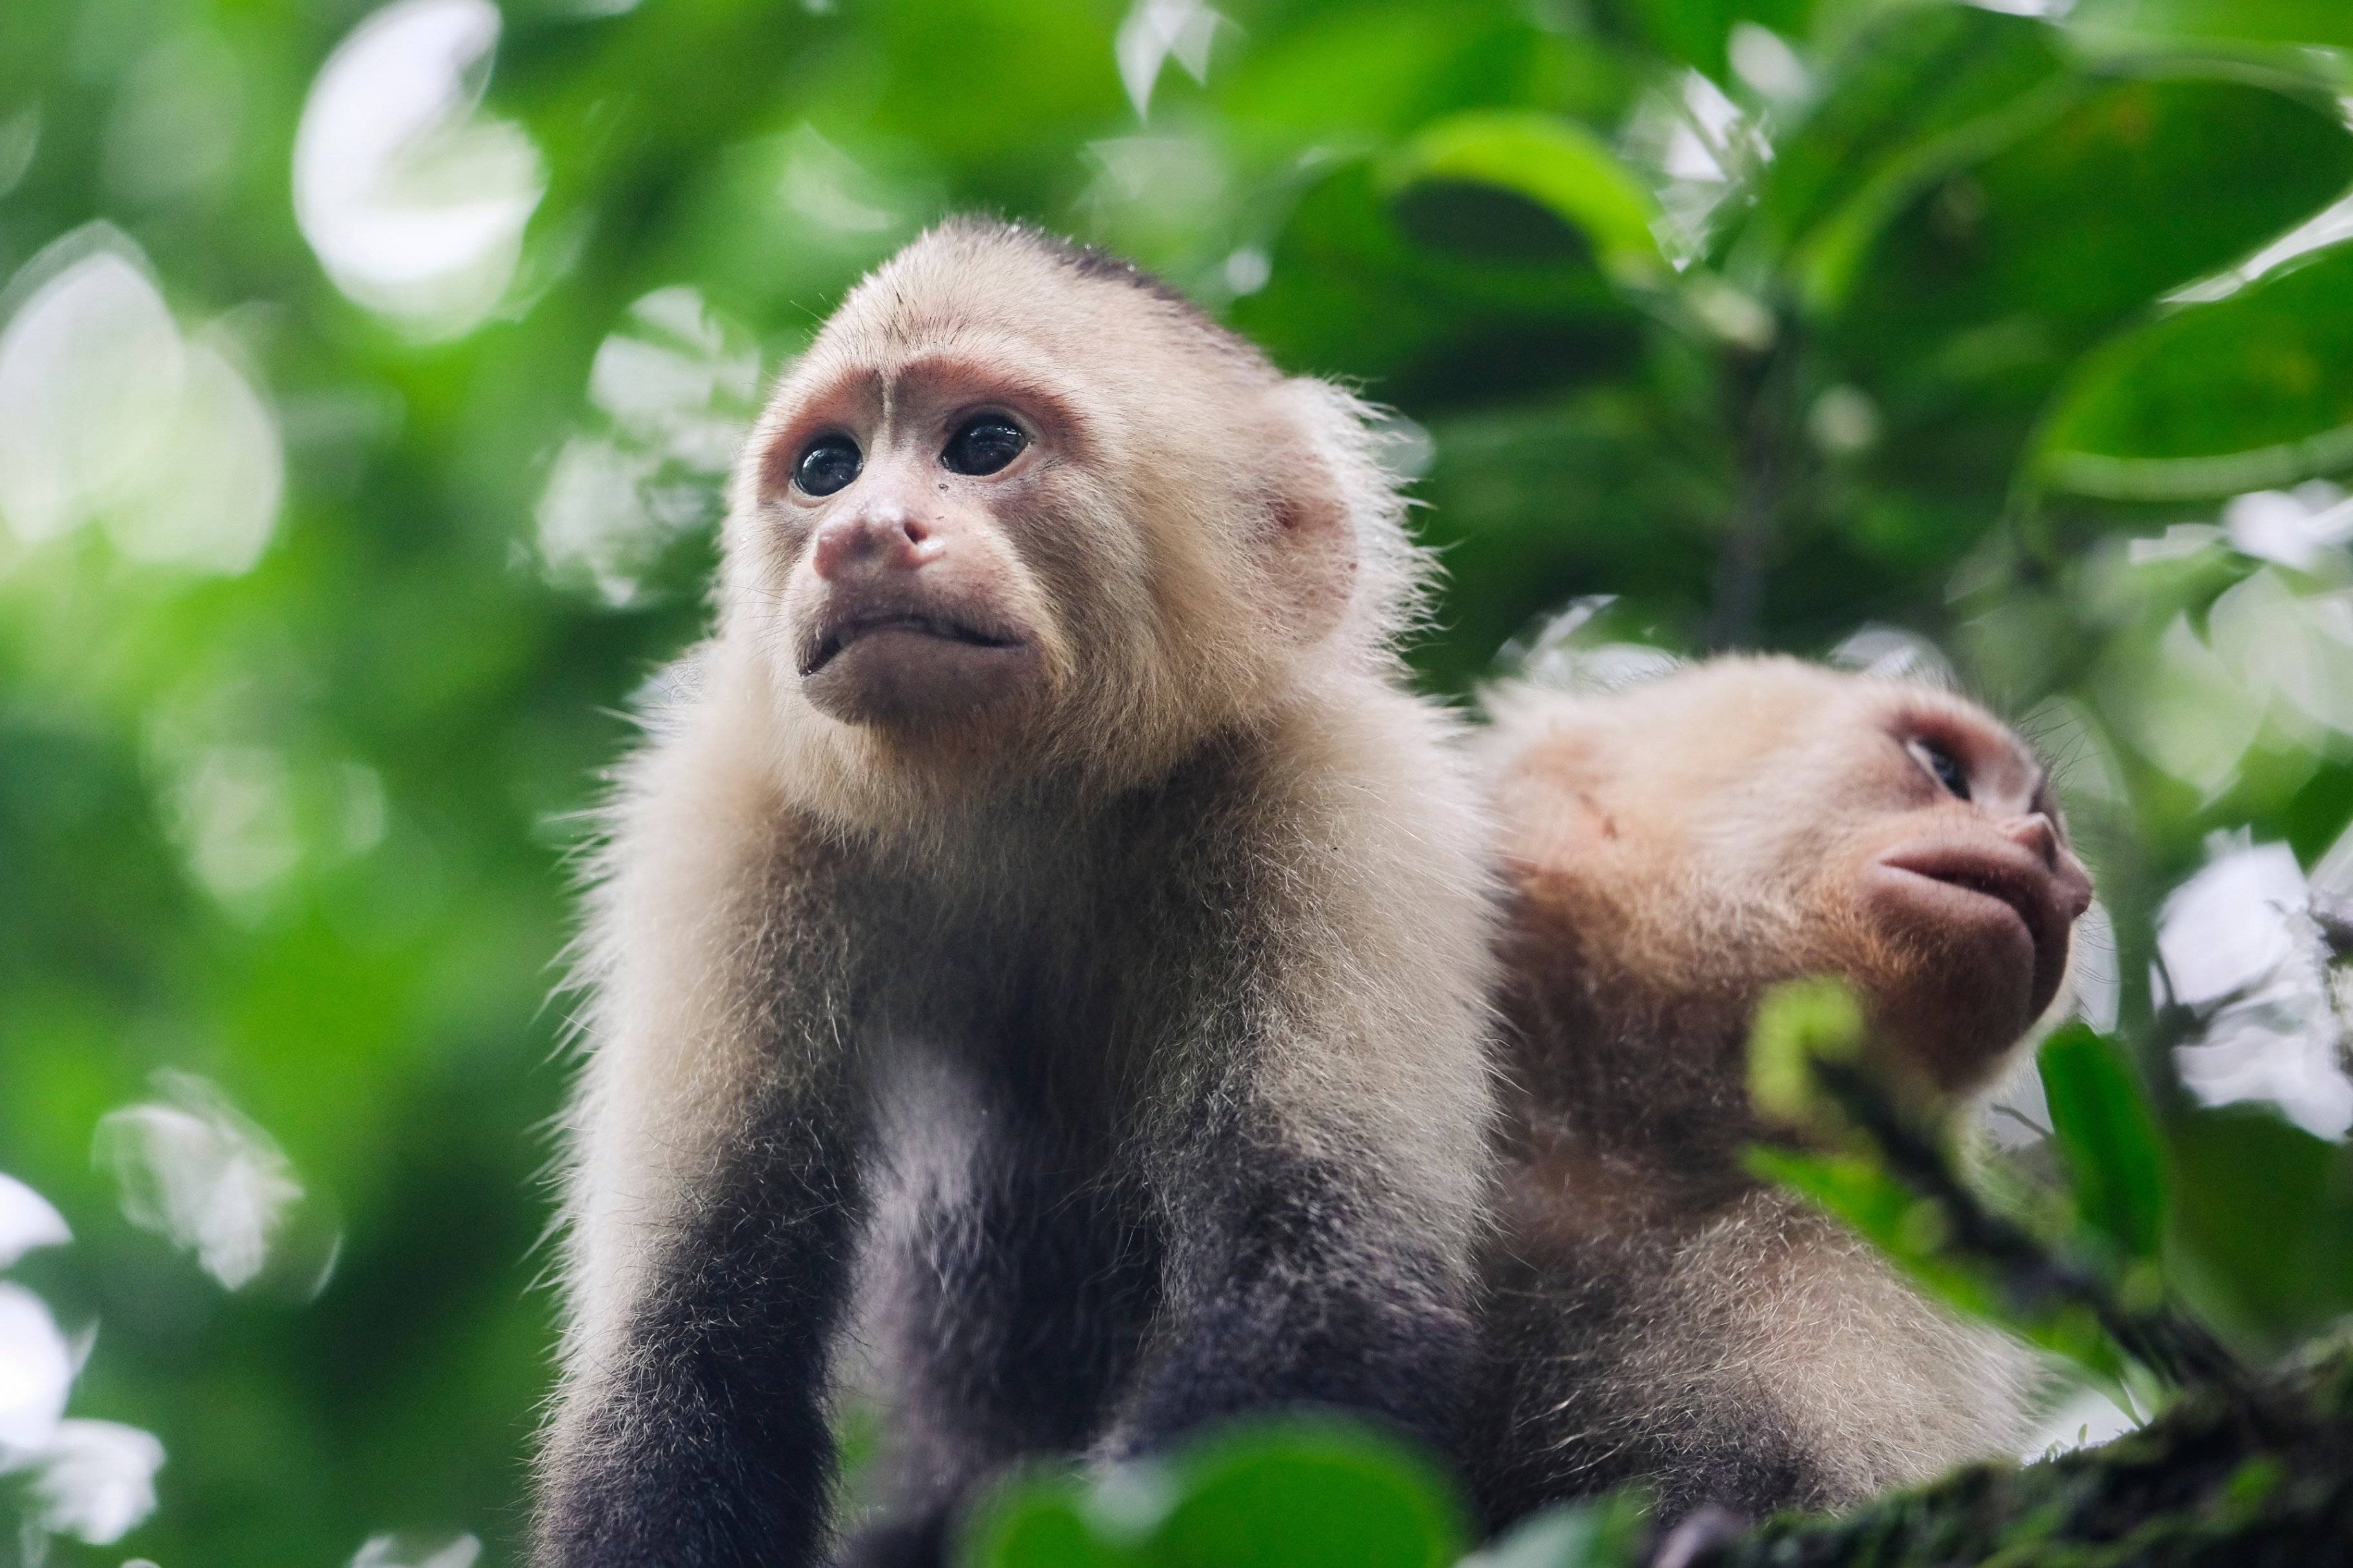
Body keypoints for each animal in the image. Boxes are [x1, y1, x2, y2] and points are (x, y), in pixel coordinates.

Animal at [531, 220, 1487, 1563]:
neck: (1015, 827)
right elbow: (681, 1353)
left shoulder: (1338, 797)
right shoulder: (725, 829)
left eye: (983, 446)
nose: (861, 533)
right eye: (827, 468)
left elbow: (1318, 1314)